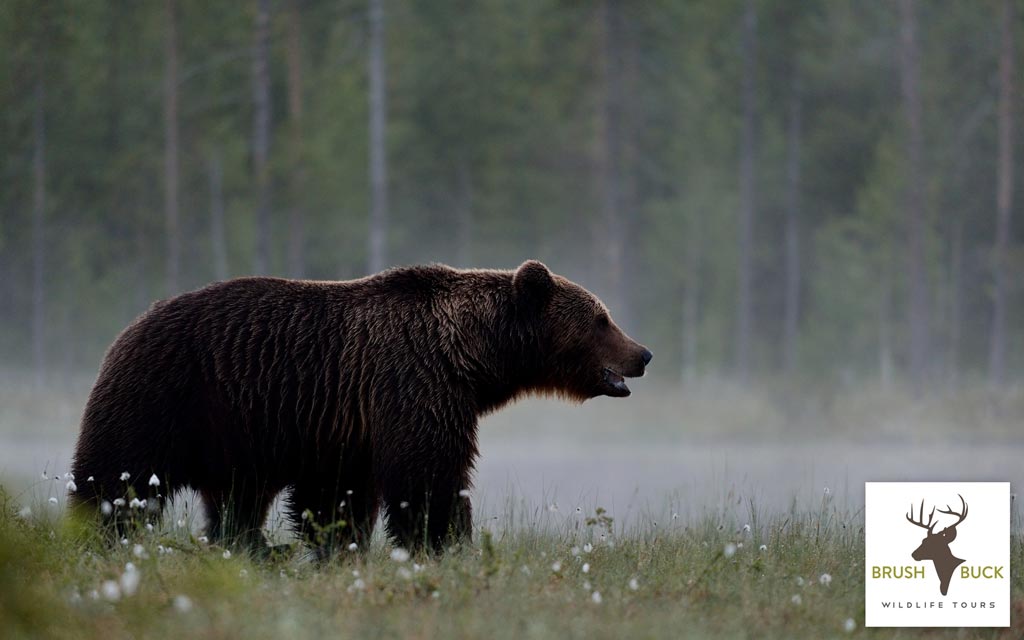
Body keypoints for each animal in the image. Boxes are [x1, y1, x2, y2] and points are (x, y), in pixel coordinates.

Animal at [68, 260, 651, 552]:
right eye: (601, 318)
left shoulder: (344, 425)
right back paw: (98, 533)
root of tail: (128, 328)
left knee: (237, 500)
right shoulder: (412, 381)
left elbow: (336, 497)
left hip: (236, 434)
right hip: (165, 396)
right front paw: (446, 543)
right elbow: (428, 474)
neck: (470, 357)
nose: (642, 353)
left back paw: (255, 547)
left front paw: (338, 546)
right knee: (118, 477)